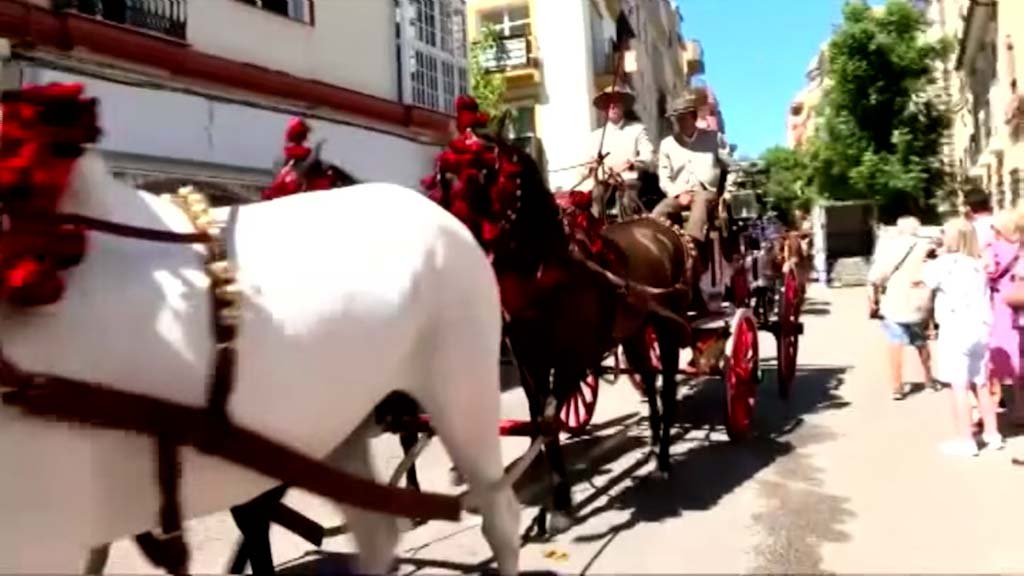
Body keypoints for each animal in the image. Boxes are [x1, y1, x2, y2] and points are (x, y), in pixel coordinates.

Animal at [432, 127, 704, 532]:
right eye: (443, 179)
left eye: (484, 175)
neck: (546, 273)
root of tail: (661, 228)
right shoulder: (529, 362)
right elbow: (540, 422)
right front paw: (556, 499)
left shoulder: (573, 359)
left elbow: (548, 420)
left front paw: (559, 504)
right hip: (635, 333)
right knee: (649, 380)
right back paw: (655, 446)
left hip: (667, 325)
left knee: (667, 386)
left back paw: (665, 459)